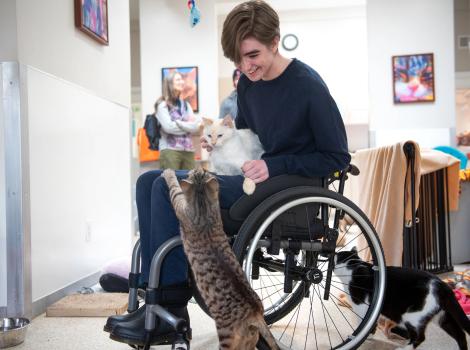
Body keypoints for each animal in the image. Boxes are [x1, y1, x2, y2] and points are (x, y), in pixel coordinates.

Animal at [162, 168, 280, 348]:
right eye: (203, 171)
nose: (199, 168)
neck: (203, 206)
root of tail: (256, 313)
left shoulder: (180, 205)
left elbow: (175, 188)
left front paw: (168, 173)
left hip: (226, 336)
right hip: (250, 338)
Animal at [334, 247, 470, 348]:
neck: (352, 265)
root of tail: (443, 285)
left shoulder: (362, 306)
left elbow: (364, 322)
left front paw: (362, 337)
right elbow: (373, 322)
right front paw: (370, 336)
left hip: (412, 316)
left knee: (420, 337)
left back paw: (404, 348)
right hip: (442, 317)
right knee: (460, 334)